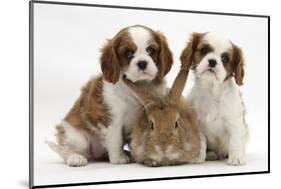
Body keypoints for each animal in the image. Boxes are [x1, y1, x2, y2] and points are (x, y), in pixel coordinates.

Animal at [46, 24, 172, 165]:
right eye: (128, 54)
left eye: (151, 50)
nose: (142, 63)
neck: (138, 86)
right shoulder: (112, 119)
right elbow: (115, 139)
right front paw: (118, 158)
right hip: (78, 138)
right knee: (65, 149)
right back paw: (75, 158)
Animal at [179, 32, 247, 165]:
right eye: (204, 50)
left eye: (225, 59)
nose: (212, 61)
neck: (212, 91)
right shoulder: (197, 124)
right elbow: (201, 141)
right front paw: (198, 157)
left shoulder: (235, 121)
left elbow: (235, 140)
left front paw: (236, 157)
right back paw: (211, 154)